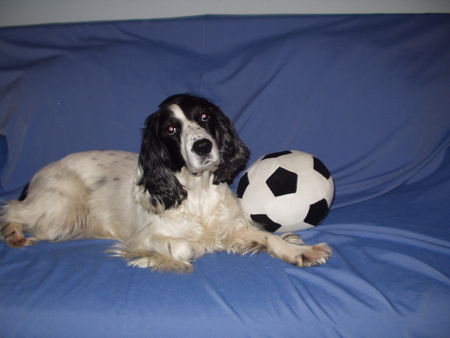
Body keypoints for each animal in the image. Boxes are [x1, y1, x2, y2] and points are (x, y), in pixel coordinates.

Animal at [0, 94, 330, 272]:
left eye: (204, 116)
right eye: (171, 129)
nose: (203, 146)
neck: (197, 193)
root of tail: (36, 175)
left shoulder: (231, 225)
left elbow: (265, 236)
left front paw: (299, 250)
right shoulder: (144, 238)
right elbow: (184, 248)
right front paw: (194, 249)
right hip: (60, 209)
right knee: (11, 209)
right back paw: (14, 234)